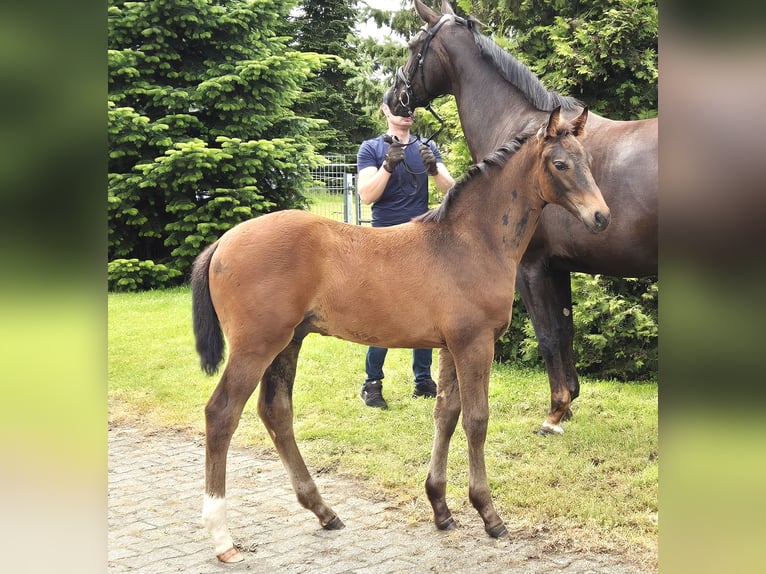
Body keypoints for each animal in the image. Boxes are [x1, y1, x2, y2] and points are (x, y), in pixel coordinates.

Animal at [194, 107, 612, 564]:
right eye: (560, 164)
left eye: (589, 162)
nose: (601, 217)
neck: (470, 242)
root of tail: (222, 242)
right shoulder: (475, 344)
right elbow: (476, 419)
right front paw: (489, 514)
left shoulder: (450, 347)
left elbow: (446, 414)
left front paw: (441, 509)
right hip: (255, 346)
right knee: (221, 414)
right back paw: (222, 538)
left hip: (288, 342)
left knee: (276, 411)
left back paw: (324, 511)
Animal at [392, 0, 664, 436]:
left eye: (415, 45)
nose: (392, 98)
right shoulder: (560, 266)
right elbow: (566, 331)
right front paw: (568, 406)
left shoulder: (531, 267)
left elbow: (548, 335)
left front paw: (554, 413)